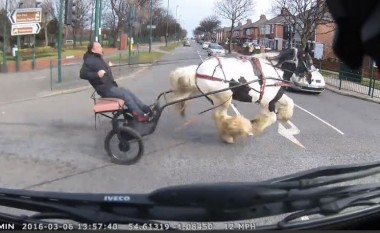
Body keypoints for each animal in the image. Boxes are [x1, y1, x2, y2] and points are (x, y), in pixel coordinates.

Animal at [168, 56, 296, 144]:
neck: (275, 72)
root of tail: (197, 71)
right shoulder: (267, 102)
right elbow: (271, 118)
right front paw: (256, 126)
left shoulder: (276, 96)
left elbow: (289, 102)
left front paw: (284, 115)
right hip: (224, 97)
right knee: (219, 116)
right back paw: (233, 132)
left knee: (218, 116)